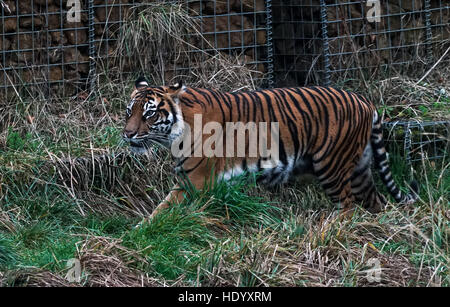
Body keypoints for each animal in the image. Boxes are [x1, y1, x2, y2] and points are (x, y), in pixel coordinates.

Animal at [122, 76, 418, 221]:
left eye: (149, 114)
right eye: (129, 111)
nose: (127, 134)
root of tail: (365, 101)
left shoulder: (195, 181)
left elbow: (163, 209)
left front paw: (139, 232)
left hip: (332, 166)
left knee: (347, 205)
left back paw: (331, 227)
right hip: (359, 169)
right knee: (375, 201)